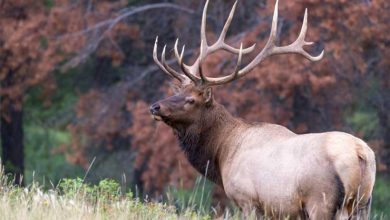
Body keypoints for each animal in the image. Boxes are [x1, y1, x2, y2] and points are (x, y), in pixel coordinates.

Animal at [149, 0, 374, 218]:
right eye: (177, 91)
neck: (222, 152)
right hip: (362, 204)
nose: (155, 106)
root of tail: (360, 153)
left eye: (191, 100)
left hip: (321, 200)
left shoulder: (247, 199)